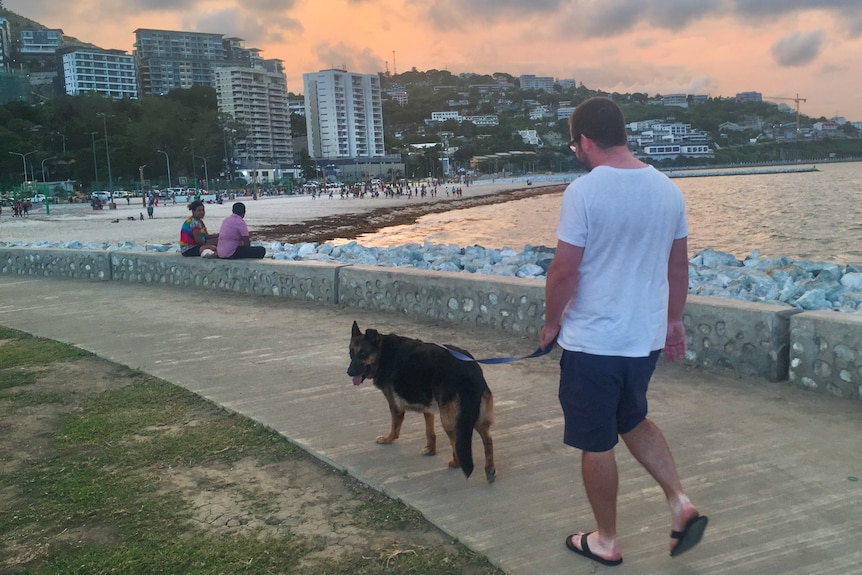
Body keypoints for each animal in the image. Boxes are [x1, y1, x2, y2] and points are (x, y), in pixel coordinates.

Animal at [348, 322, 496, 484]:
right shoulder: (428, 408)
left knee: (457, 443)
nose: (349, 372)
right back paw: (490, 470)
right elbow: (429, 431)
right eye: (351, 353)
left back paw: (456, 463)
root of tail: (473, 372)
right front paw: (430, 450)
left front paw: (388, 439)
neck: (382, 353)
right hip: (477, 419)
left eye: (363, 354)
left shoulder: (395, 406)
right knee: (488, 440)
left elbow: (395, 426)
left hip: (450, 420)